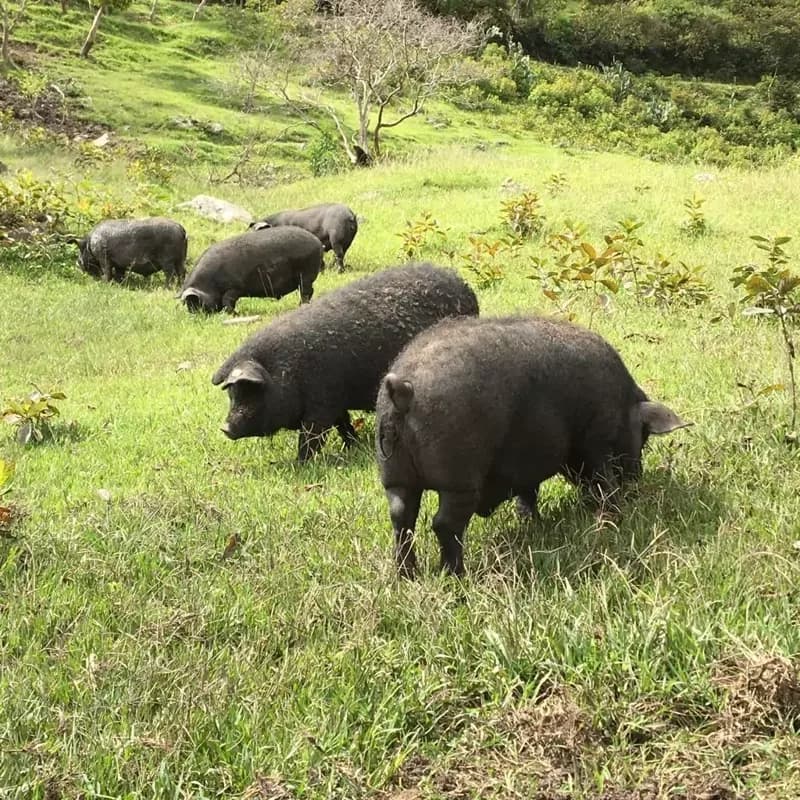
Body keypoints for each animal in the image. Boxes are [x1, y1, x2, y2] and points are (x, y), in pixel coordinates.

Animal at [179, 225, 323, 313]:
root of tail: (317, 242)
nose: (195, 316)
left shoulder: (234, 287)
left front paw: (233, 314)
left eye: (195, 302)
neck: (209, 283)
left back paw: (301, 306)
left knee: (306, 291)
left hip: (306, 274)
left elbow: (228, 301)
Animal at [212, 263, 479, 461]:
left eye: (250, 391)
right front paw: (352, 446)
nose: (225, 427)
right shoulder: (336, 401)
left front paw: (301, 463)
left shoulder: (321, 404)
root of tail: (466, 288)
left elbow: (311, 437)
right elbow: (344, 424)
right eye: (232, 393)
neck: (285, 371)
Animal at [375, 315, 692, 577]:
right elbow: (603, 478)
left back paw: (407, 575)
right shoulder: (597, 439)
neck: (624, 403)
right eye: (644, 436)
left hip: (395, 477)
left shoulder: (526, 463)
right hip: (458, 476)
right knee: (443, 523)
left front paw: (533, 522)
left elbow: (528, 492)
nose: (636, 484)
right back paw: (454, 575)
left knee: (401, 517)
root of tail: (404, 390)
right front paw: (613, 513)